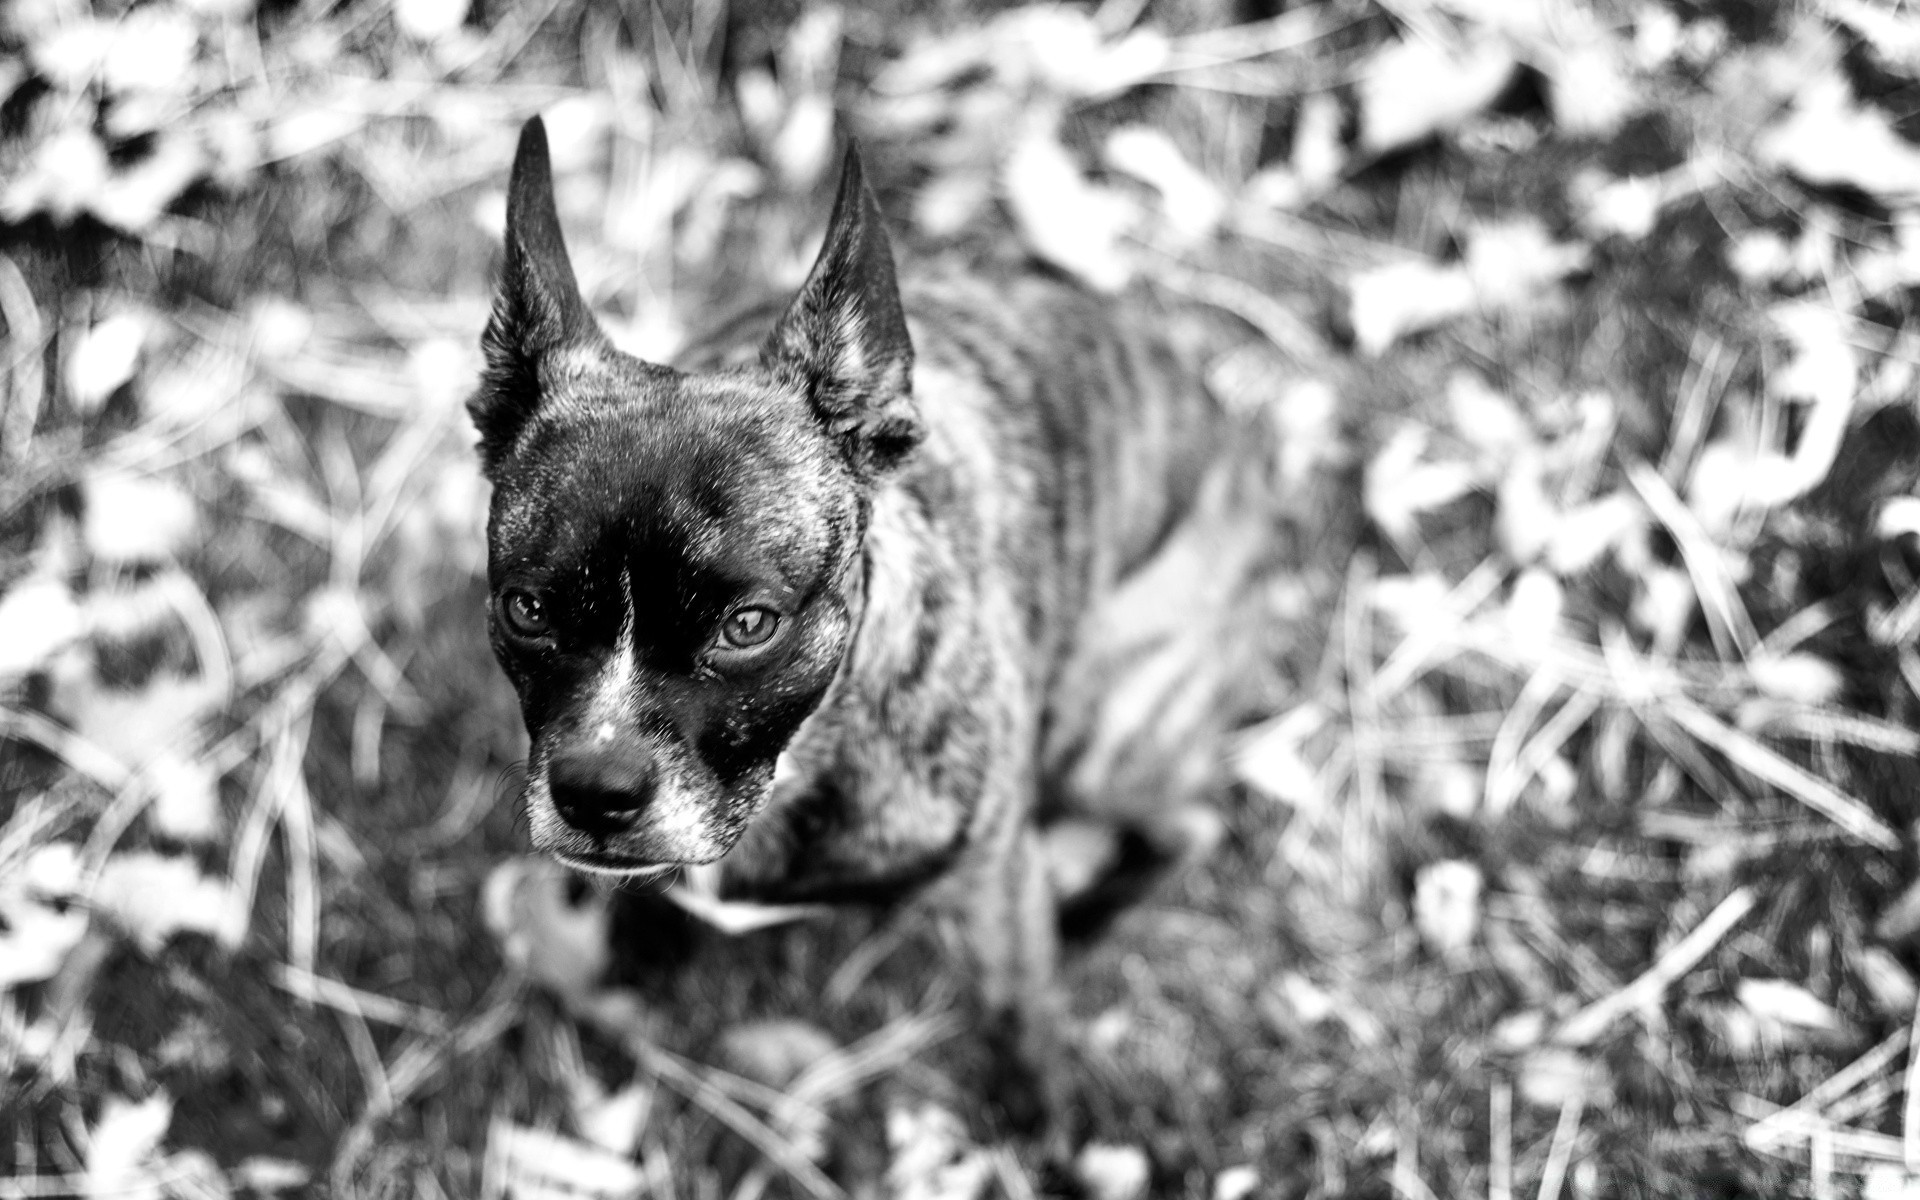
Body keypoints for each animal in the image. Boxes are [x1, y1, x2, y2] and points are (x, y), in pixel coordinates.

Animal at [472, 117, 1305, 1128]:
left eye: (749, 625)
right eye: (526, 609)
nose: (597, 788)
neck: (809, 752)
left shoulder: (990, 887)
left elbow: (1017, 1023)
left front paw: (1044, 1125)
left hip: (1105, 736)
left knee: (1192, 823)